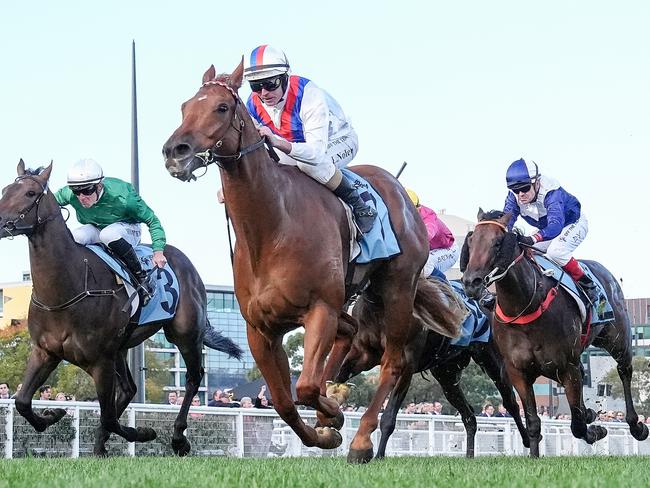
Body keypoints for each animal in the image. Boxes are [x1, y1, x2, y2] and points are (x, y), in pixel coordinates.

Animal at [0, 162, 242, 456]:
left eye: (30, 193)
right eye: (5, 189)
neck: (68, 286)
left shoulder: (100, 360)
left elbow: (108, 417)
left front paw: (144, 432)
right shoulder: (45, 352)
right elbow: (22, 401)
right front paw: (53, 415)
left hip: (185, 335)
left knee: (193, 378)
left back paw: (178, 437)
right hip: (122, 346)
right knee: (129, 389)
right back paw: (100, 445)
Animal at [161, 61, 456, 462]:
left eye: (221, 107)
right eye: (184, 107)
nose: (175, 151)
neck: (272, 228)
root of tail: (400, 194)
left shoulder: (319, 310)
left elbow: (304, 388)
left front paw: (334, 417)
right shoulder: (261, 328)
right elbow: (285, 400)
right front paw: (326, 428)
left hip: (397, 289)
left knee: (391, 364)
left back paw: (361, 440)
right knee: (348, 334)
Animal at [334, 278, 528, 458]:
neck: (380, 306)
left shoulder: (406, 363)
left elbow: (389, 417)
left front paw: (379, 456)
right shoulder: (363, 355)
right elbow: (339, 376)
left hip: (492, 361)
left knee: (511, 402)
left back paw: (528, 440)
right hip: (447, 377)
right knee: (469, 416)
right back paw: (469, 456)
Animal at [458, 210, 644, 458]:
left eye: (497, 243)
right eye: (471, 241)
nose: (471, 282)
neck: (526, 306)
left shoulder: (567, 367)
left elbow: (577, 425)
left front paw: (596, 431)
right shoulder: (517, 371)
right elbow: (534, 421)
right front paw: (535, 456)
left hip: (617, 340)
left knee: (624, 371)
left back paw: (636, 425)